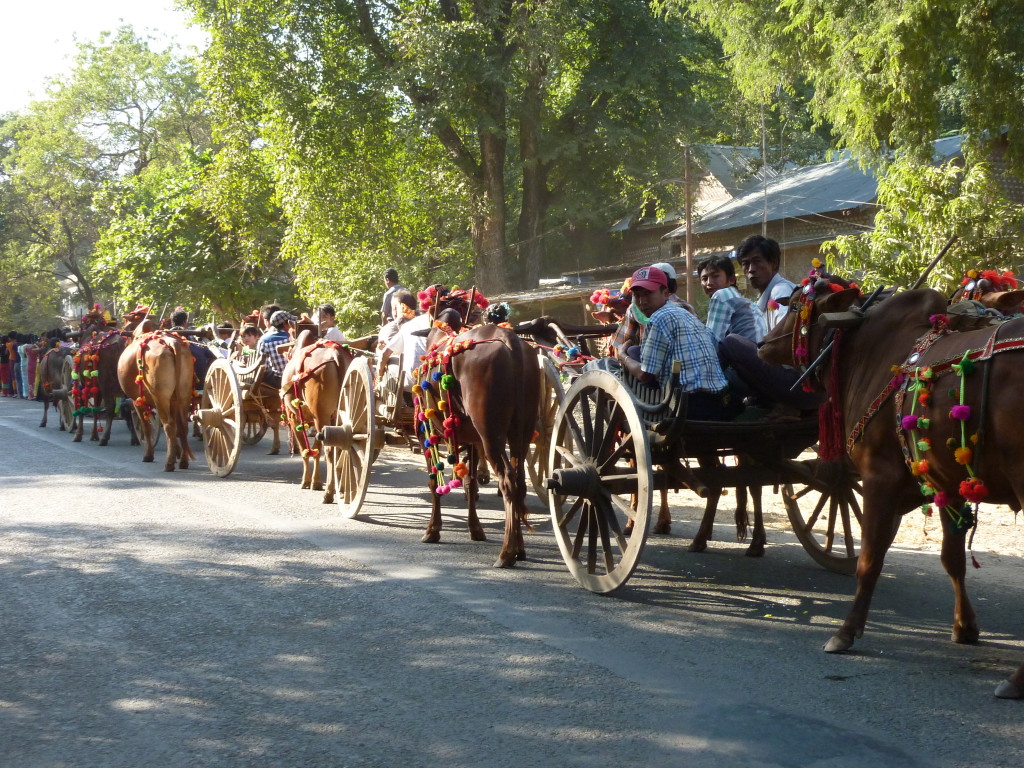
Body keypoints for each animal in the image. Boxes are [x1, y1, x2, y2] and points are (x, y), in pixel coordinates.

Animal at [280, 331, 351, 502]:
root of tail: (336, 355)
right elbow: (316, 450)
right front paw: (316, 481)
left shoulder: (294, 418)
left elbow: (305, 450)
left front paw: (307, 481)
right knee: (341, 447)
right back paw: (342, 489)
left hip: (320, 416)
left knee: (330, 450)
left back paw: (329, 493)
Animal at [760, 280, 1024, 698]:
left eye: (795, 305)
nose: (762, 343)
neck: (864, 348)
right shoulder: (946, 483)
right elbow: (952, 560)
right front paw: (964, 627)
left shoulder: (878, 479)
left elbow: (869, 561)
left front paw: (846, 632)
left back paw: (1014, 681)